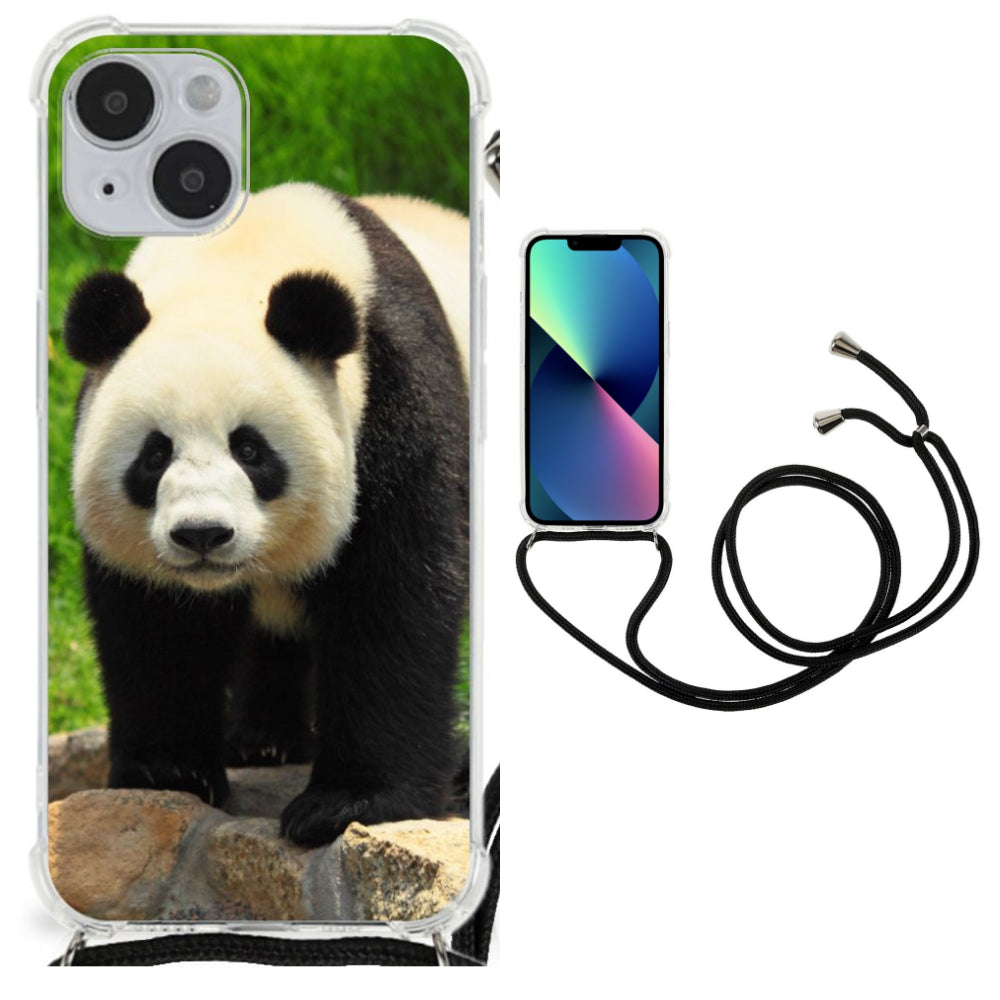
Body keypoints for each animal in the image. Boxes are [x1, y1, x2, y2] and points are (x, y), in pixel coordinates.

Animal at [64, 183, 470, 847]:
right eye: (154, 455)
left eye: (250, 450)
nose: (202, 534)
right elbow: (157, 622)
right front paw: (169, 769)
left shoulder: (397, 398)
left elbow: (394, 598)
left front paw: (348, 802)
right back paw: (263, 740)